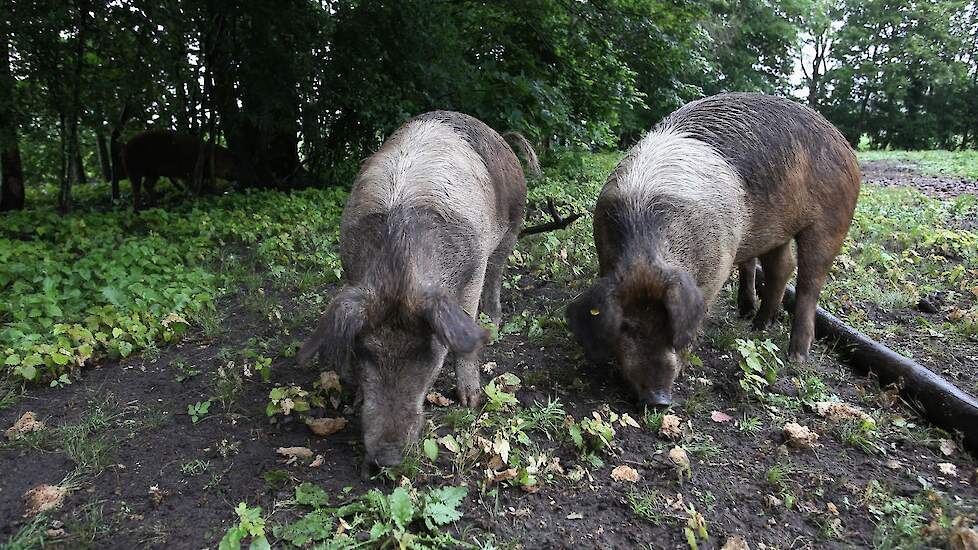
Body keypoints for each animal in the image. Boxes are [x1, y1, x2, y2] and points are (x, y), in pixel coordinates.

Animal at [296, 111, 528, 470]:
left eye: (428, 353)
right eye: (364, 350)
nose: (387, 458)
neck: (399, 269)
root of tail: (498, 135)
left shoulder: (473, 270)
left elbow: (467, 330)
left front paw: (470, 402)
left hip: (514, 224)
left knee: (497, 272)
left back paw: (494, 323)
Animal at [568, 92, 856, 408]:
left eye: (672, 324)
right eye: (626, 326)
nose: (658, 400)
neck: (646, 249)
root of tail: (843, 143)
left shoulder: (719, 265)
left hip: (831, 220)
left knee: (809, 282)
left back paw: (796, 357)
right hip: (776, 231)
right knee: (782, 268)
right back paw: (758, 326)